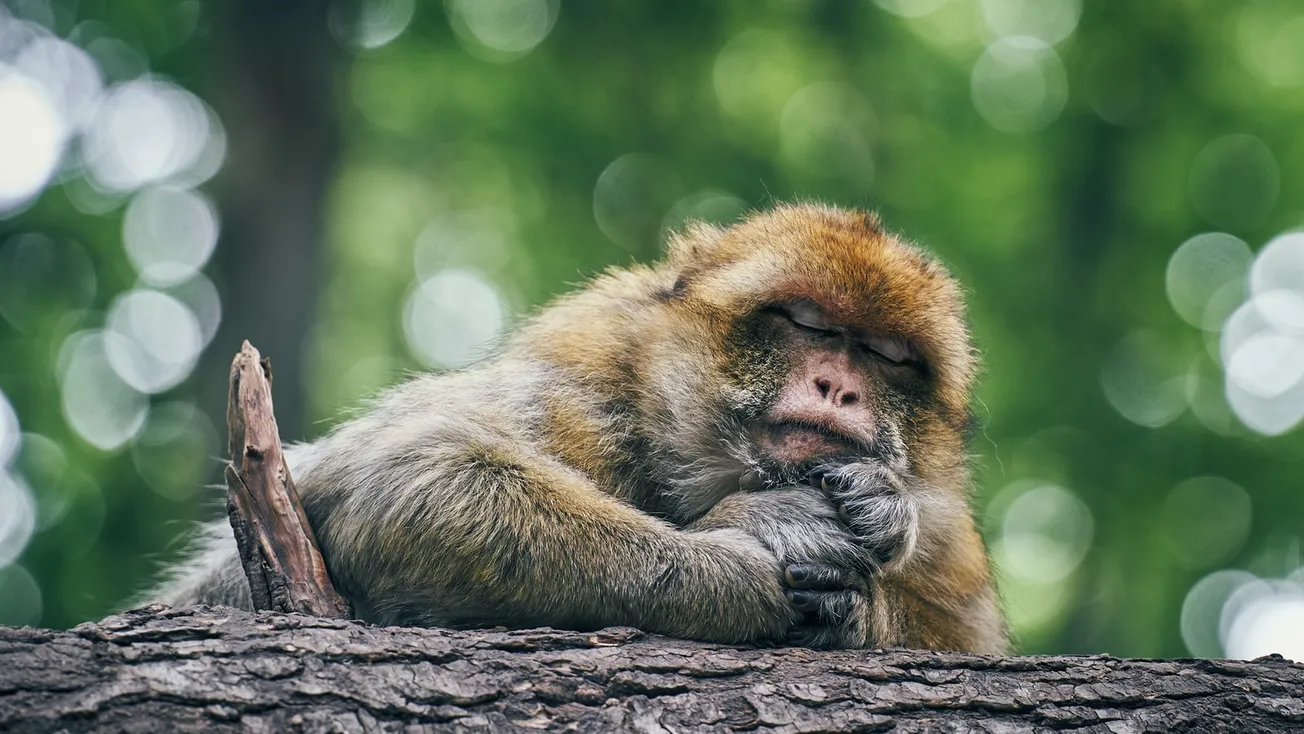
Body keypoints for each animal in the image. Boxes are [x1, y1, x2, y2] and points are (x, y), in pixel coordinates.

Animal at [152, 202, 1006, 654]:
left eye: (887, 358)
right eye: (805, 322)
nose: (839, 386)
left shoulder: (948, 543)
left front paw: (871, 564)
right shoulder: (582, 391)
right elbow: (410, 475)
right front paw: (754, 546)